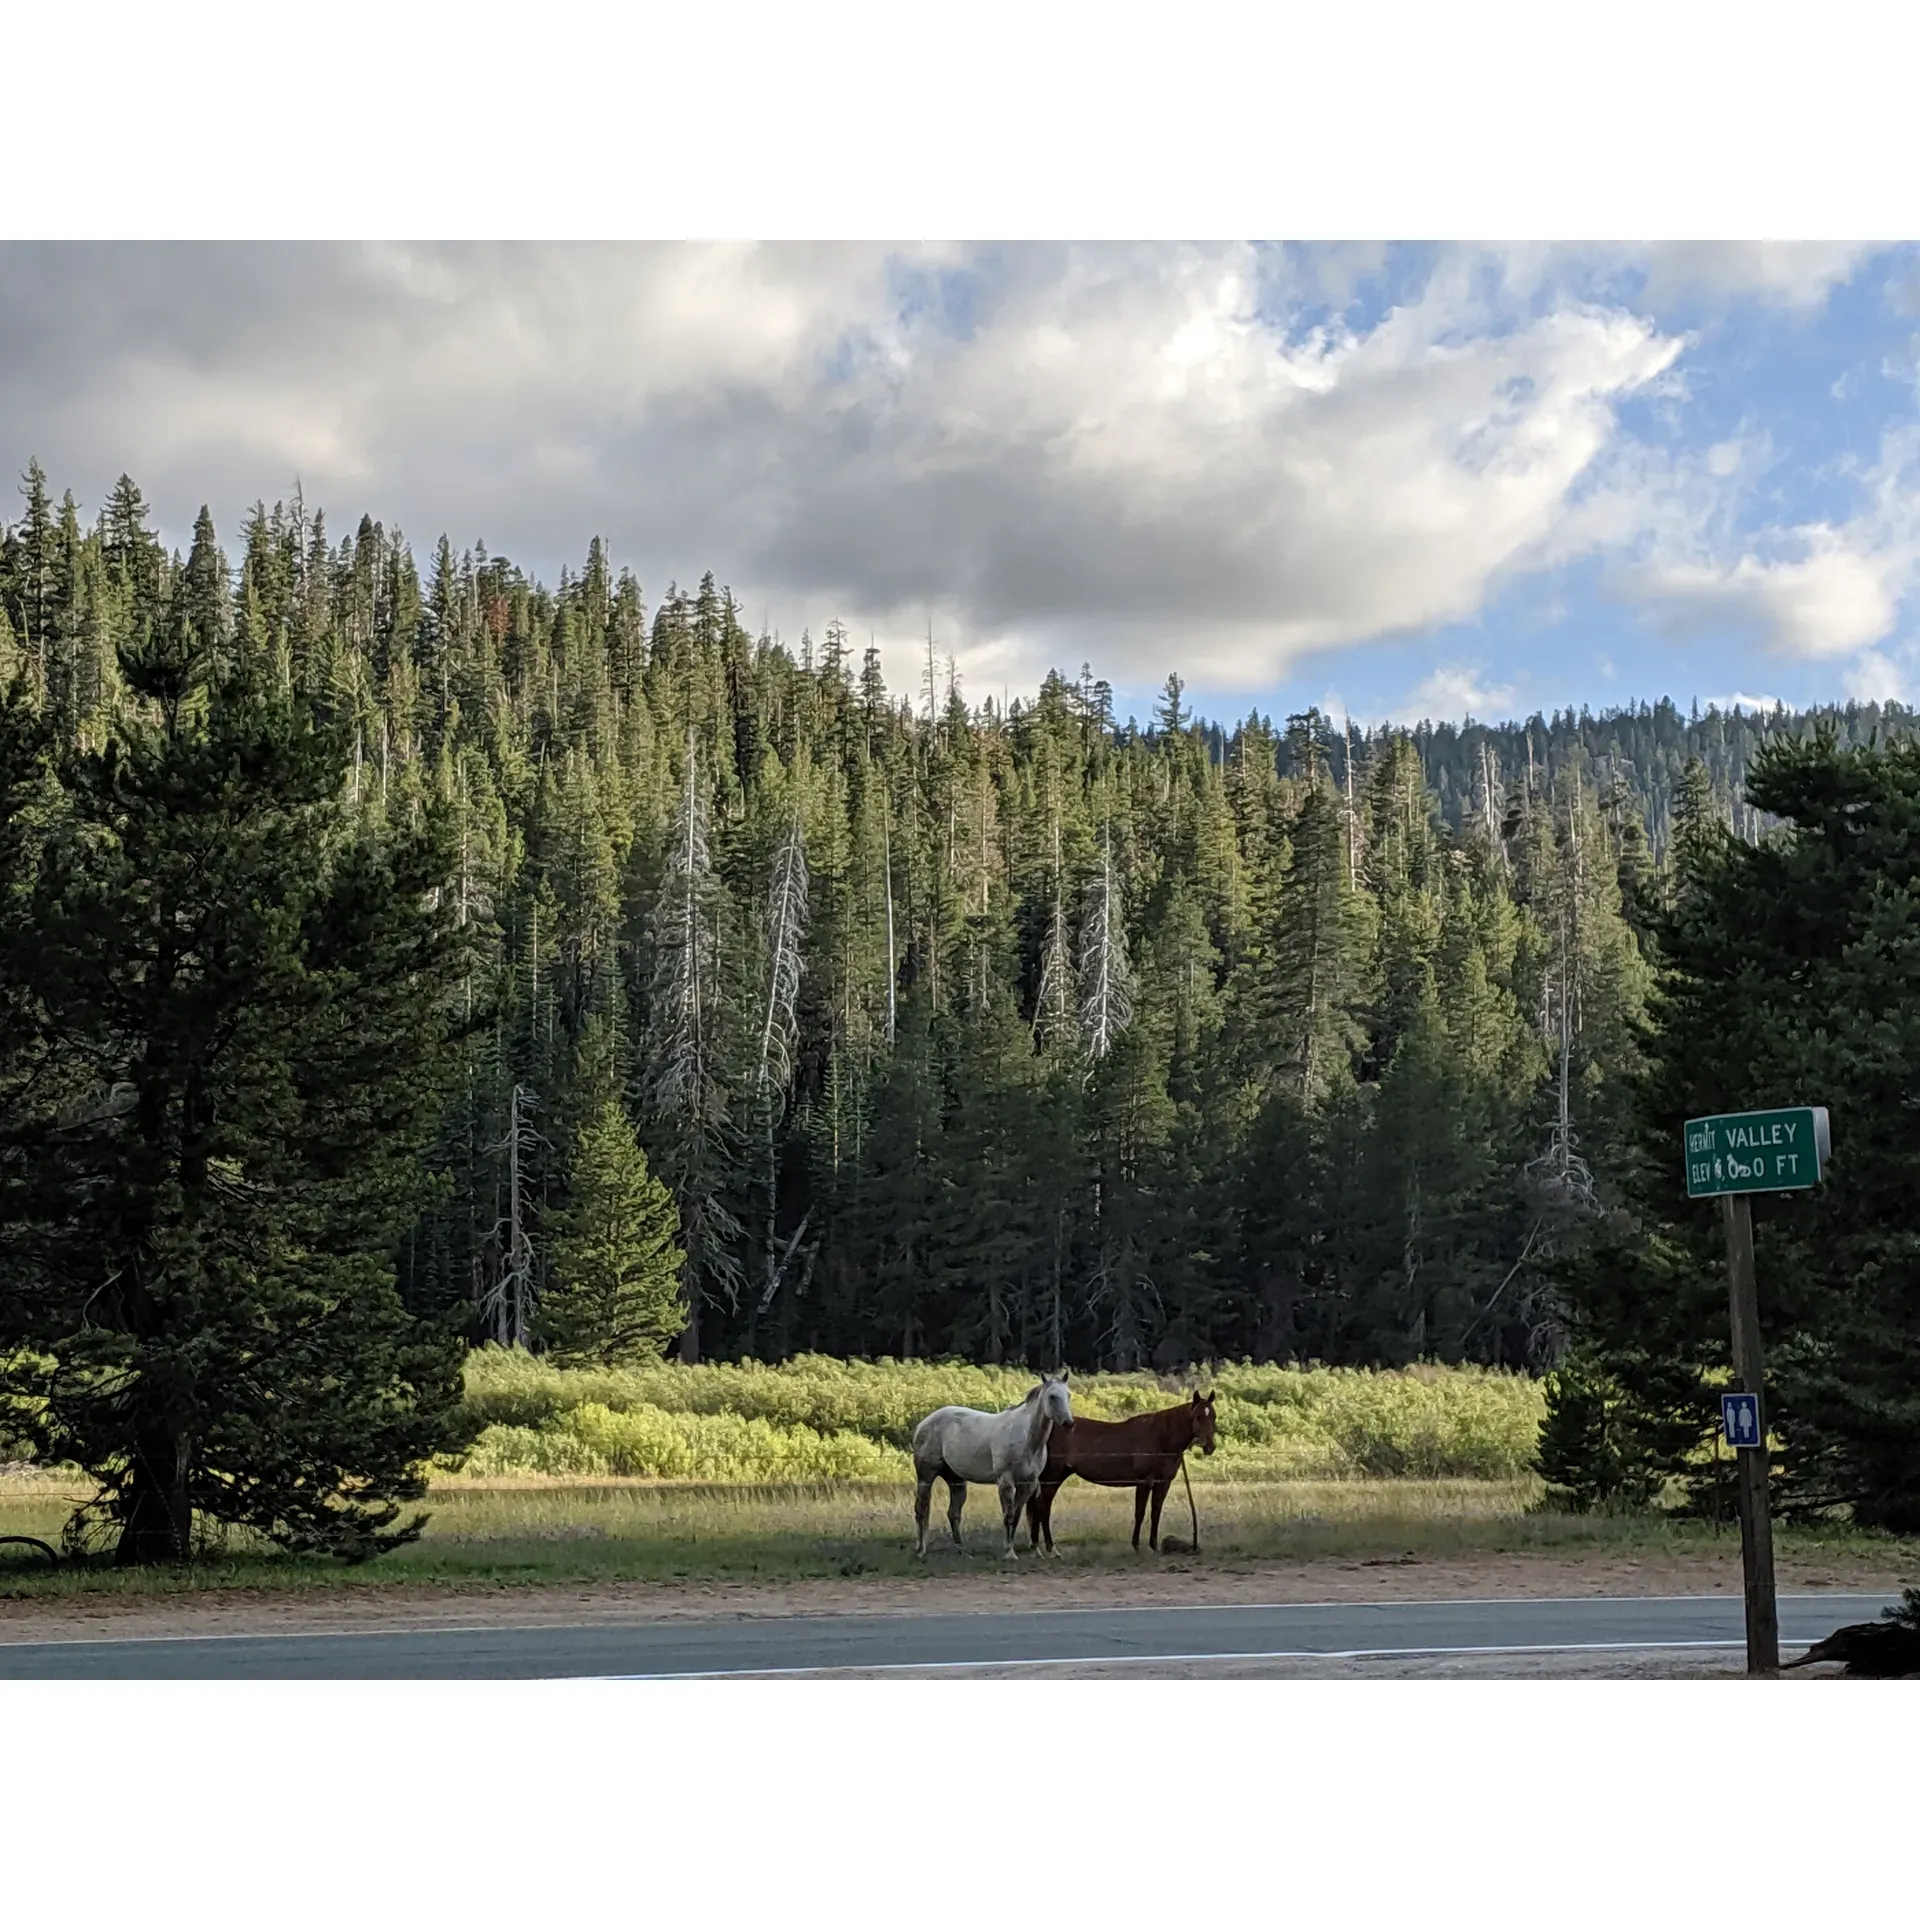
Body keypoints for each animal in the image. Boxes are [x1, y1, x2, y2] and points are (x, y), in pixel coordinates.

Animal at [910, 1374, 1075, 1551]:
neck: (1026, 1438)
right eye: (1052, 1396)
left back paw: (960, 1548)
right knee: (921, 1510)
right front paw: (1009, 1552)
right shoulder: (1006, 1482)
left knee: (953, 1513)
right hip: (926, 1477)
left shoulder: (1028, 1484)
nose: (1069, 1423)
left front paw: (1010, 1548)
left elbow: (1016, 1516)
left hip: (956, 1481)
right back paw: (920, 1549)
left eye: (1068, 1395)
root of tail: (923, 1423)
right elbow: (1008, 1516)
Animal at [1021, 1397, 1213, 1559]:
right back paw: (1050, 1549)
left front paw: (1154, 1546)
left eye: (1213, 1416)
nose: (1210, 1447)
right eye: (1197, 1417)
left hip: (1055, 1478)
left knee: (1039, 1509)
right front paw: (1136, 1546)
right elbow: (1140, 1513)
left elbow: (1156, 1513)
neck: (1160, 1437)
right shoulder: (1144, 1482)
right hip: (1051, 1478)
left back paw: (1039, 1548)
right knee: (1042, 1509)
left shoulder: (1163, 1484)